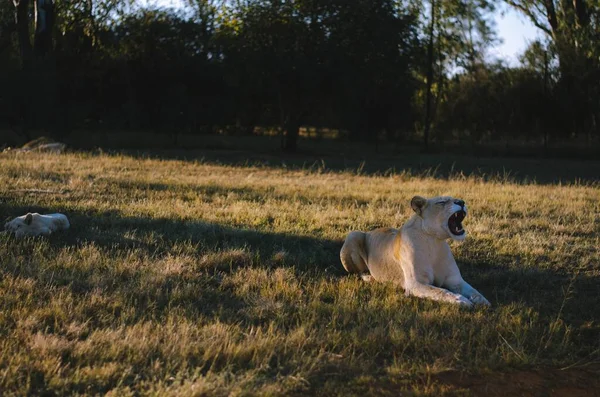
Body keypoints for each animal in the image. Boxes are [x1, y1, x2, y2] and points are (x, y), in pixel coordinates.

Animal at [340, 195, 490, 306]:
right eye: (441, 202)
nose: (461, 202)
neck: (434, 242)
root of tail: (371, 231)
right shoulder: (415, 284)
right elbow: (441, 291)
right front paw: (462, 300)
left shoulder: (455, 280)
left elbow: (473, 291)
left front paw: (483, 301)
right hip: (353, 234)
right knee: (357, 272)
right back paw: (370, 277)